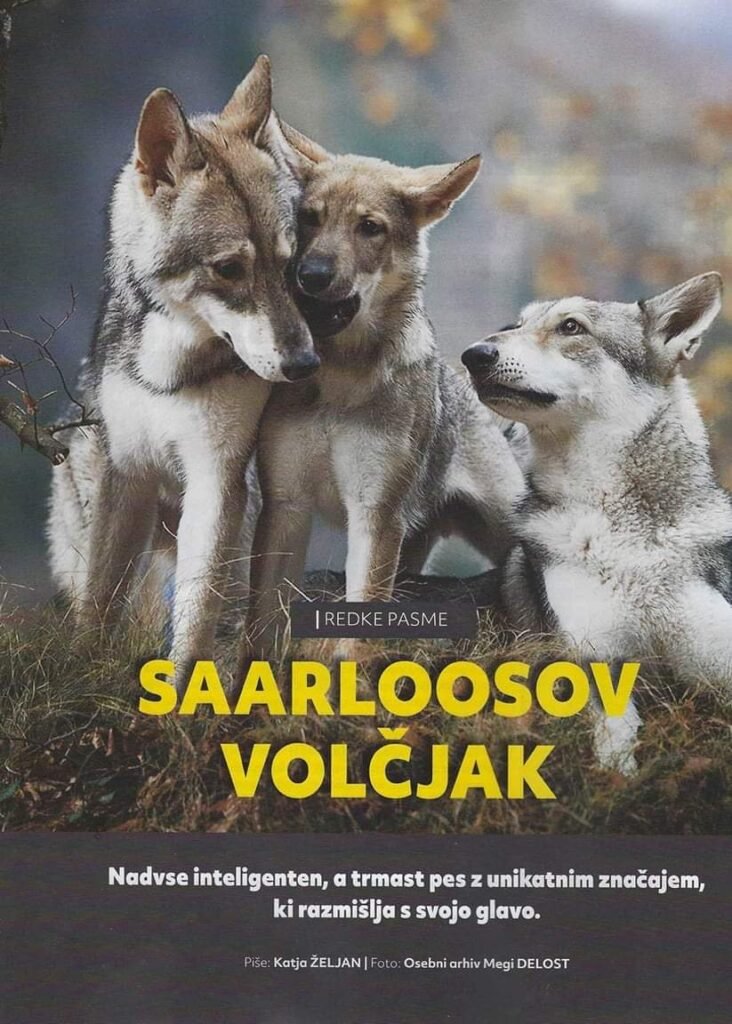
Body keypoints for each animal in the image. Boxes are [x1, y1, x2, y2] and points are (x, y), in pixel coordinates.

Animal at [47, 57, 319, 676]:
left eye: (289, 264)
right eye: (229, 269)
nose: (305, 363)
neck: (165, 375)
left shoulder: (216, 480)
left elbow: (195, 618)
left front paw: (183, 690)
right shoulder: (127, 473)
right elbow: (100, 601)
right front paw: (81, 673)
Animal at [245, 125, 528, 655]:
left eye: (369, 227)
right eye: (310, 218)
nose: (310, 275)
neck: (338, 378)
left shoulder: (374, 514)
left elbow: (359, 633)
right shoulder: (286, 505)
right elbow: (261, 627)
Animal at [462, 272, 732, 769]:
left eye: (570, 327)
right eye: (515, 326)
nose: (474, 354)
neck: (625, 540)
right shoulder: (594, 663)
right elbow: (616, 750)